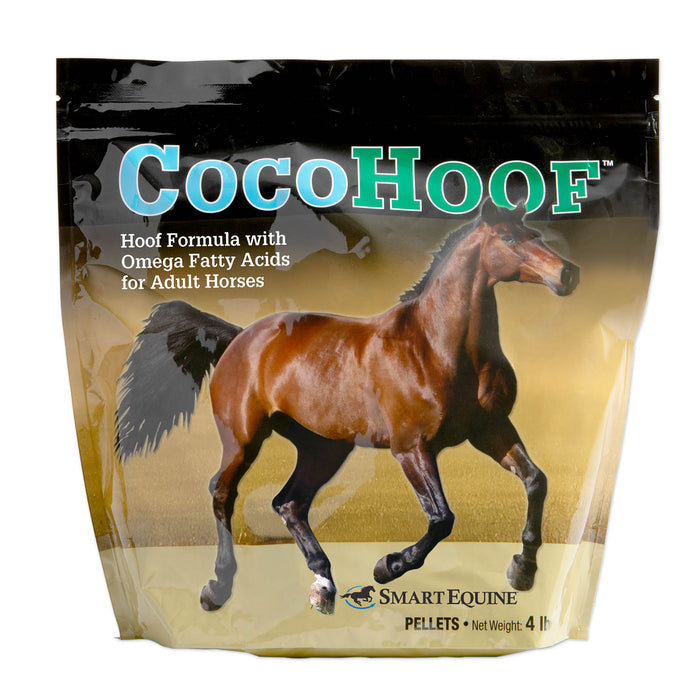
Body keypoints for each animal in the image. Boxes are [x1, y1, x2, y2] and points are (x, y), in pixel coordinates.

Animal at [116, 198, 579, 615]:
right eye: (509, 238)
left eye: (536, 235)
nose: (567, 273)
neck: (436, 346)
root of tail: (238, 337)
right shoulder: (411, 448)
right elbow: (441, 518)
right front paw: (387, 566)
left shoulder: (491, 430)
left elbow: (536, 482)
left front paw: (522, 570)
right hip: (244, 440)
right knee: (223, 493)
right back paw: (217, 588)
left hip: (323, 447)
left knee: (289, 503)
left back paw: (323, 585)